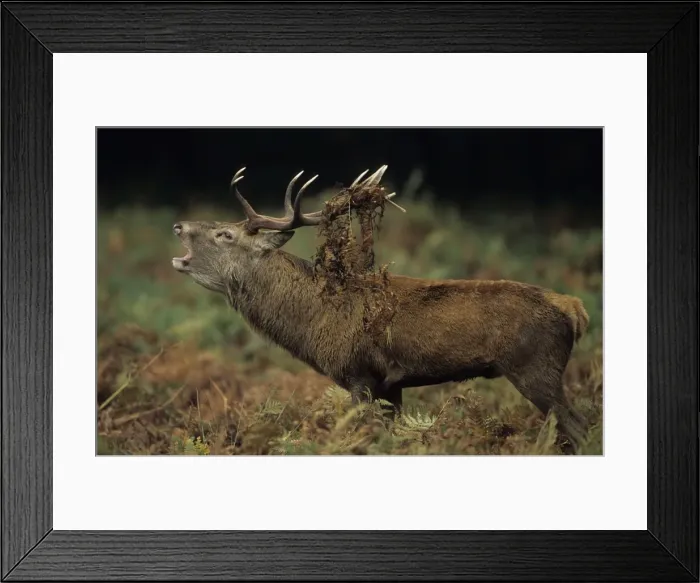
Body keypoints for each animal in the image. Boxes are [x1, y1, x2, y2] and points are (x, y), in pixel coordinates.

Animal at [172, 166, 591, 452]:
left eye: (225, 234)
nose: (178, 225)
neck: (310, 325)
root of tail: (574, 308)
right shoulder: (392, 385)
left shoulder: (358, 374)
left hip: (536, 368)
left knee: (579, 426)